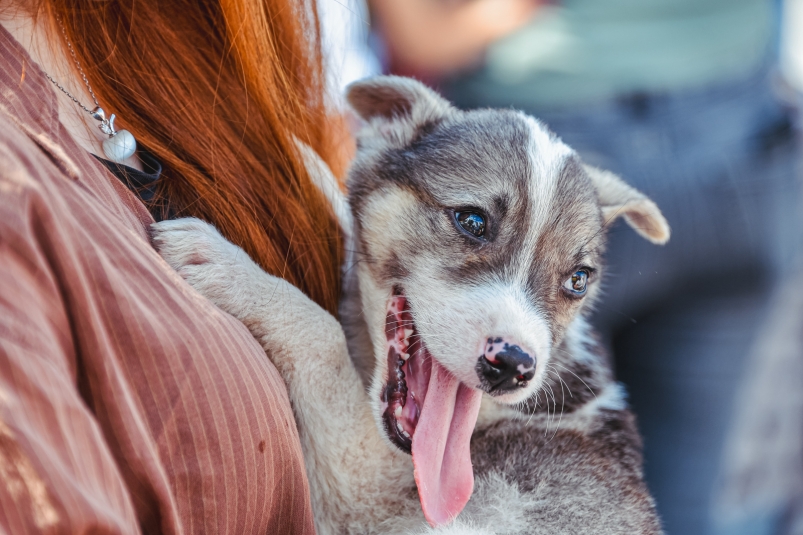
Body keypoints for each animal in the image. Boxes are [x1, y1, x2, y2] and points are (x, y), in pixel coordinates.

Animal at [154, 76, 668, 535]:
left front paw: (227, 265)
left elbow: (323, 337)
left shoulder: (365, 495)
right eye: (472, 221)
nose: (513, 365)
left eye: (578, 281)